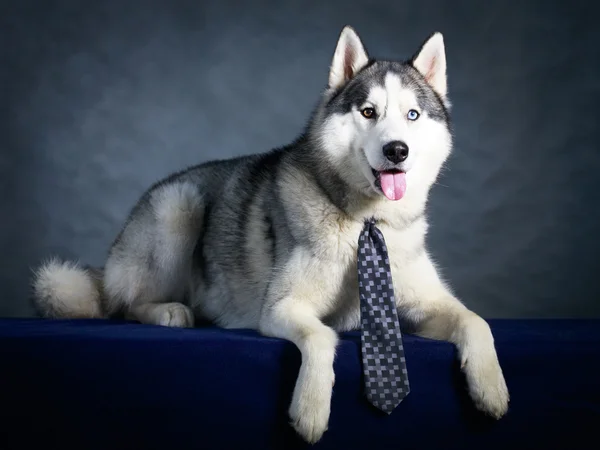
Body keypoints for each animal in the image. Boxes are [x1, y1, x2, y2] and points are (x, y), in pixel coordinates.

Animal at [32, 27, 508, 442]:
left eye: (412, 115)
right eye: (368, 112)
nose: (397, 150)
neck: (365, 222)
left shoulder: (425, 304)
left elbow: (477, 320)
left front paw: (491, 387)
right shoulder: (282, 306)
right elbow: (323, 336)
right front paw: (310, 410)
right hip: (177, 205)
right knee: (125, 304)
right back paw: (168, 311)